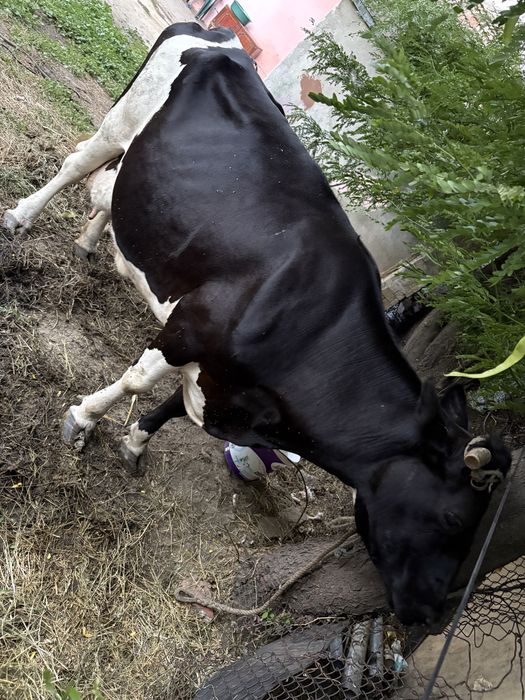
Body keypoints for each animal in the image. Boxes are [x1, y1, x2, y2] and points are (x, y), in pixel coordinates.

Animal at [3, 23, 511, 627]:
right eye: (455, 520)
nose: (430, 615)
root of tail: (214, 34)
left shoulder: (224, 380)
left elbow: (175, 407)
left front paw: (135, 443)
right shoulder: (192, 329)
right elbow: (136, 382)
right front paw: (82, 421)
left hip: (146, 164)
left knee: (108, 189)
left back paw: (85, 243)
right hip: (123, 117)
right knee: (80, 163)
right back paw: (19, 218)